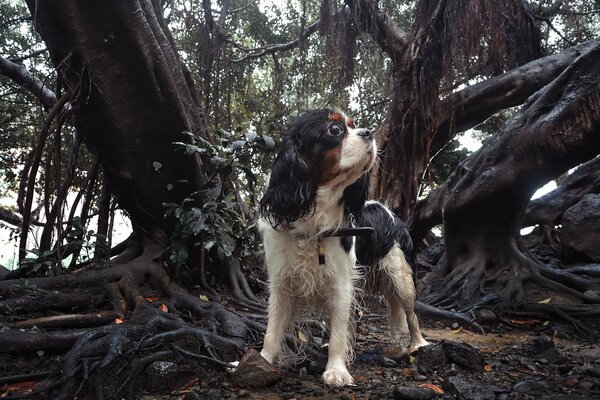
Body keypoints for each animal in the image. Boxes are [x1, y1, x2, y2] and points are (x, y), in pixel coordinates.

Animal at [258, 108, 426, 386]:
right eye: (334, 130)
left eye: (354, 125)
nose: (369, 133)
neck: (313, 222)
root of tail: (391, 212)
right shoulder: (281, 283)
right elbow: (272, 329)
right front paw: (261, 360)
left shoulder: (341, 284)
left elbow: (338, 329)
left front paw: (336, 370)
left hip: (400, 276)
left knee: (410, 313)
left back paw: (418, 344)